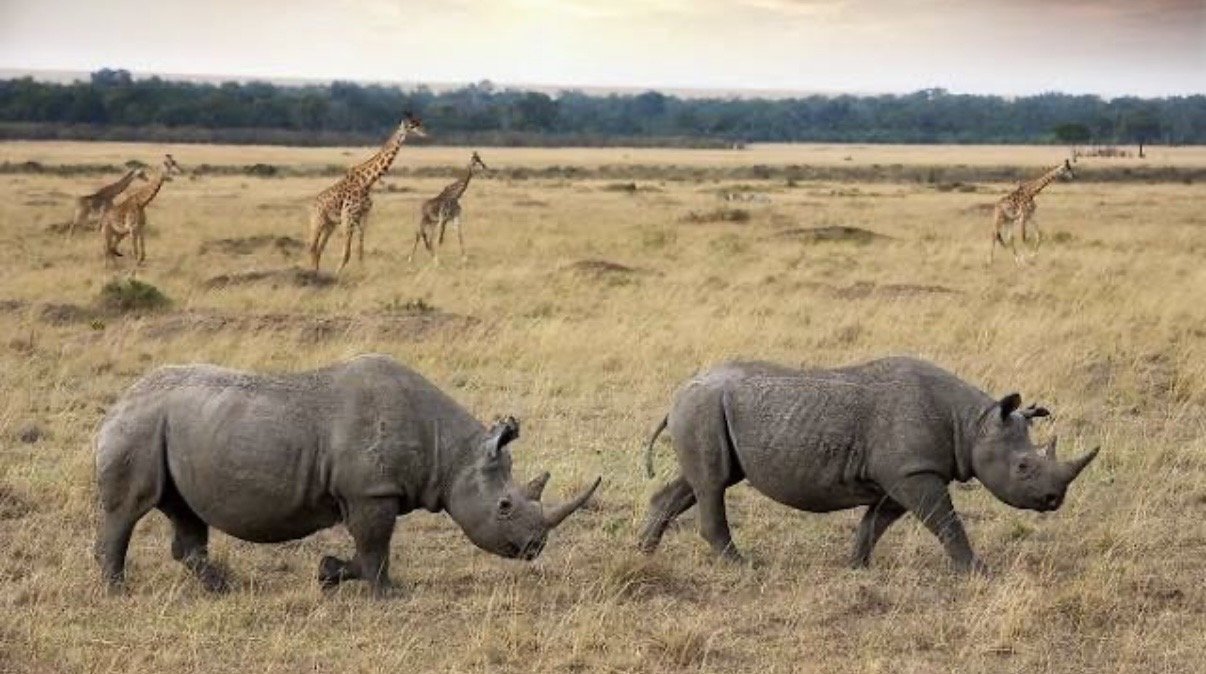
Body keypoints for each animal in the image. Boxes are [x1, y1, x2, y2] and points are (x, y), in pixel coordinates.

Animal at [94, 354, 601, 594]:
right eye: (505, 506)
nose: (534, 548)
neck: (452, 453)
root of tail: (118, 401)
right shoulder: (370, 492)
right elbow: (376, 548)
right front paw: (388, 594)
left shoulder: (370, 492)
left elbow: (368, 549)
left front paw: (327, 574)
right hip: (140, 426)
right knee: (130, 509)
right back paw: (118, 592)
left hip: (169, 427)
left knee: (183, 510)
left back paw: (222, 588)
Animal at [639, 357, 1099, 573]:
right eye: (1023, 467)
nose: (1054, 499)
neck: (973, 424)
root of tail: (677, 393)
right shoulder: (915, 471)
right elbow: (946, 522)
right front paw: (978, 571)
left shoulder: (903, 474)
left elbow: (874, 523)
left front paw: (857, 566)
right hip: (702, 407)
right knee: (713, 484)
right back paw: (743, 565)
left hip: (704, 409)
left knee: (698, 483)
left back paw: (643, 552)